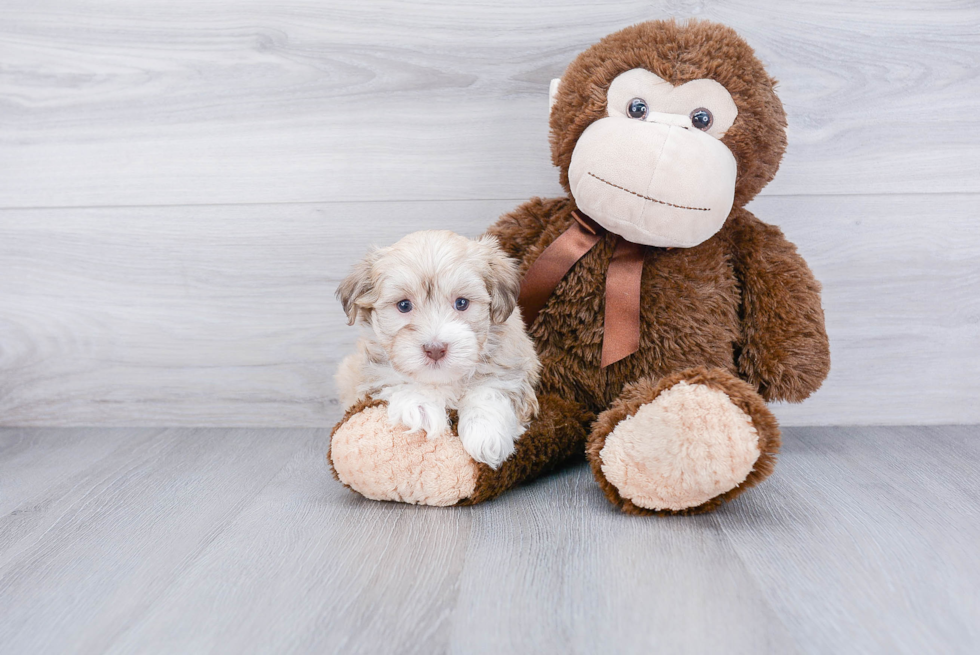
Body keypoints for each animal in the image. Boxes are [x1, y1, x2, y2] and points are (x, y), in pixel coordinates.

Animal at [334, 228, 540, 468]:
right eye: (404, 305)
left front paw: (485, 432)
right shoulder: (371, 373)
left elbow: (491, 389)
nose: (435, 349)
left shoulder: (513, 366)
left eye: (462, 303)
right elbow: (397, 379)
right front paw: (420, 406)